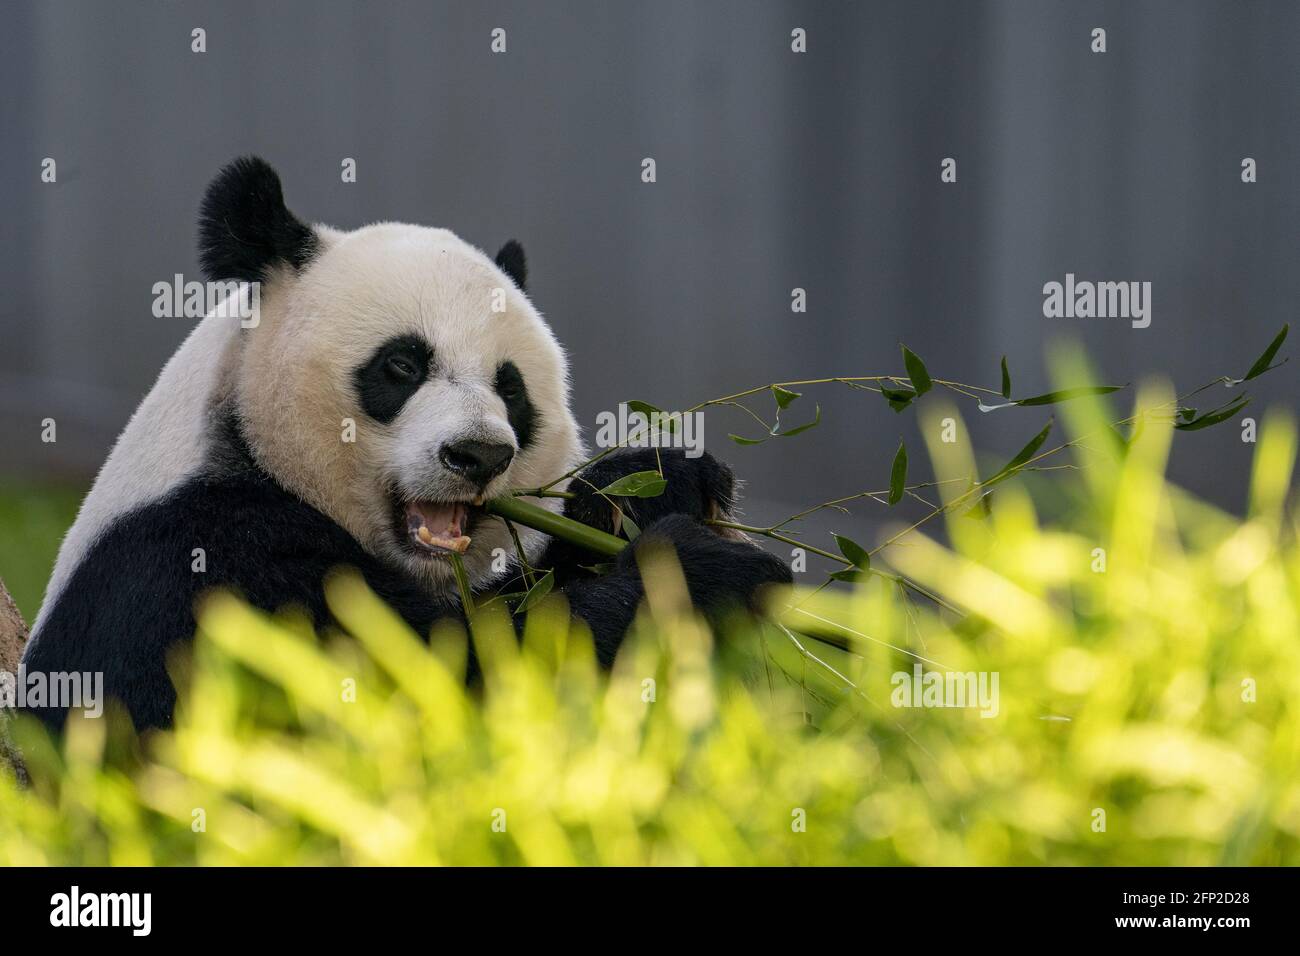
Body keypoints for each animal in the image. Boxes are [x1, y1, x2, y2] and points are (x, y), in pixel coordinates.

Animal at [22, 158, 790, 733]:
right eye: (401, 365)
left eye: (511, 389)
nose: (479, 455)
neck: (252, 456)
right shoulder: (204, 564)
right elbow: (444, 680)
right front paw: (704, 573)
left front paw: (657, 482)